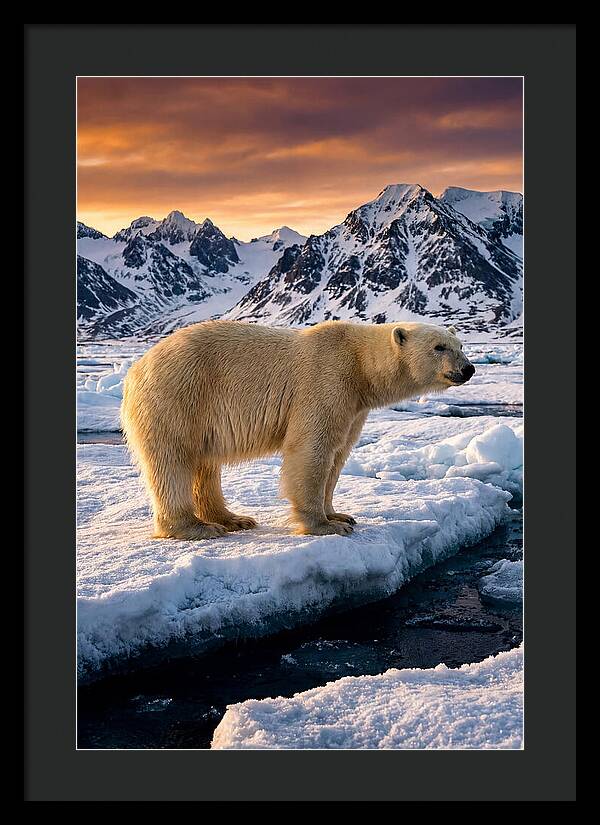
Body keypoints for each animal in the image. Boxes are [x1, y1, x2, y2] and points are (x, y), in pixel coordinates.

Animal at [121, 320, 475, 540]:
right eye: (439, 347)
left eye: (460, 344)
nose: (468, 368)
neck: (360, 365)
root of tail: (136, 368)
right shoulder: (326, 380)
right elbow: (311, 450)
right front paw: (324, 526)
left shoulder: (353, 406)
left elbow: (337, 455)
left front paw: (339, 515)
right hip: (179, 395)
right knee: (173, 460)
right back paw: (196, 527)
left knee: (205, 464)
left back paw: (233, 518)